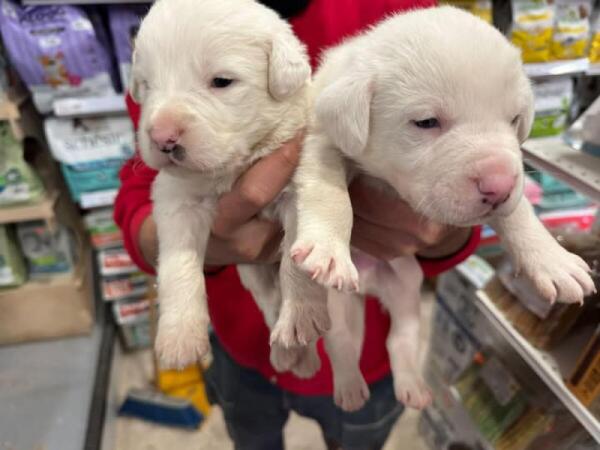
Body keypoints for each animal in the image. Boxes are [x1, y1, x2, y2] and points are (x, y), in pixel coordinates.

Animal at [131, 0, 328, 372]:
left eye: (221, 81)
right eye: (146, 84)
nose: (162, 137)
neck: (233, 167)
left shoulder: (296, 184)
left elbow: (296, 262)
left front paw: (300, 316)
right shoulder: (176, 199)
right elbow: (178, 263)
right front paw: (180, 338)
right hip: (251, 273)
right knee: (268, 300)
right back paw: (288, 355)